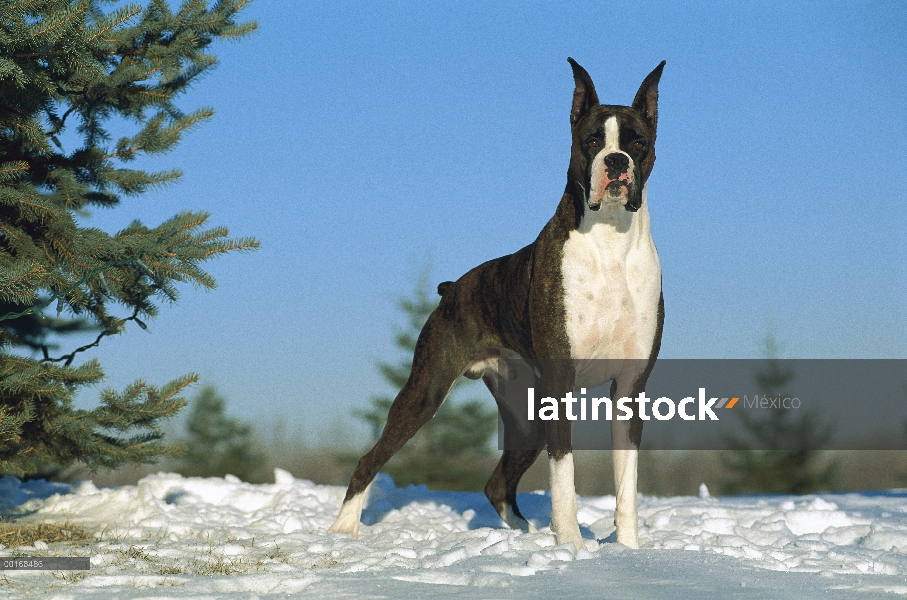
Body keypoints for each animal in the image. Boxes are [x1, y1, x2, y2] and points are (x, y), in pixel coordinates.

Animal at [332, 58, 668, 552]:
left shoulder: (629, 387)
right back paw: (342, 532)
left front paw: (628, 552)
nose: (616, 161)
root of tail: (452, 288)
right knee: (369, 460)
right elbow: (564, 474)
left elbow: (626, 484)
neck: (610, 240)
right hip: (425, 392)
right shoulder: (561, 384)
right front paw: (572, 547)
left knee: (497, 484)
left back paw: (522, 536)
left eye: (637, 143)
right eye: (591, 140)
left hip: (526, 418)